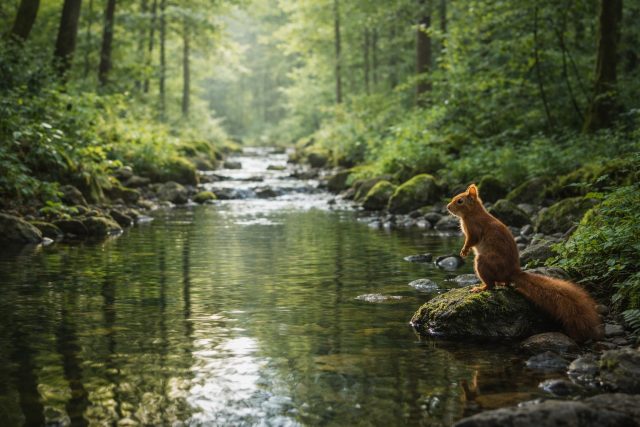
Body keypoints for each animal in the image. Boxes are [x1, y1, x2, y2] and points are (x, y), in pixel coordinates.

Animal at [447, 183, 603, 342]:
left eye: (460, 201)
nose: (448, 207)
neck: (473, 213)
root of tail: (512, 272)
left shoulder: (474, 229)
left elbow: (471, 240)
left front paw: (464, 251)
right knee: (504, 283)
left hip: (482, 262)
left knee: (491, 285)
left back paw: (481, 288)